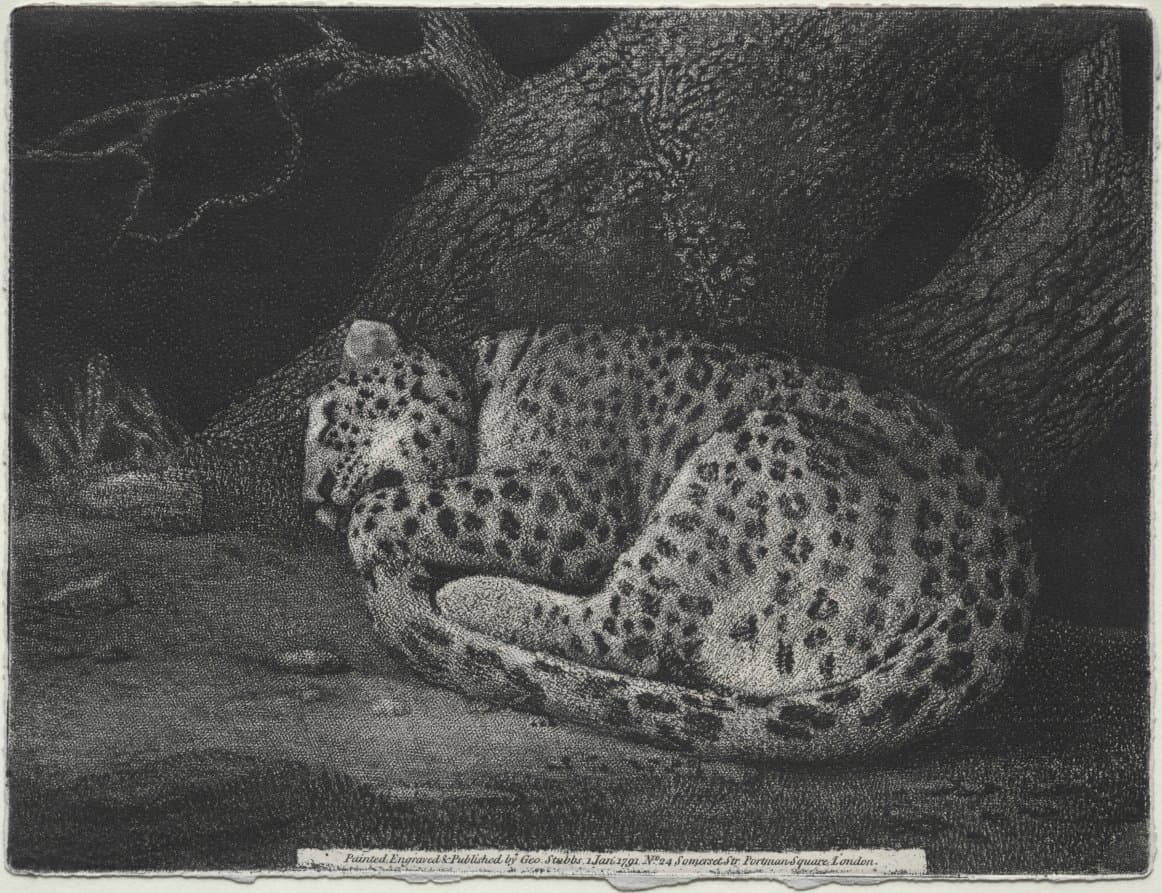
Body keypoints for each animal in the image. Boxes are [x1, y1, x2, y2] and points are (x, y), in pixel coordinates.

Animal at [303, 318, 1035, 762]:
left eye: (330, 422)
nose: (311, 504)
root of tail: (996, 601)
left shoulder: (572, 505)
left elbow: (408, 502)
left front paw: (374, 532)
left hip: (749, 453)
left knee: (628, 630)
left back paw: (466, 595)